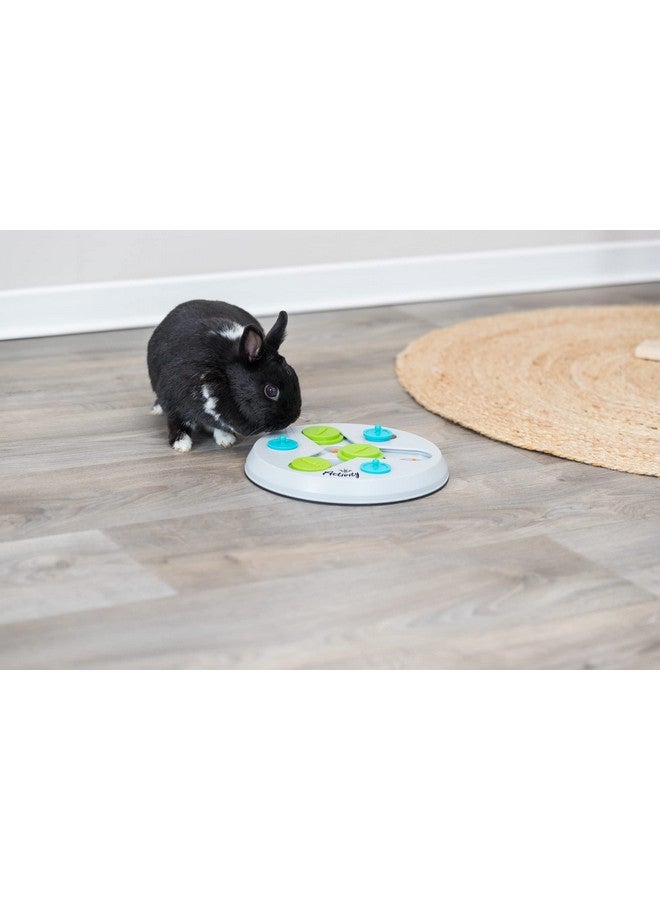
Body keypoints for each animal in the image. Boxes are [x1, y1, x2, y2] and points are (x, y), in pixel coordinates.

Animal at [147, 300, 302, 451]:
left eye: (293, 374)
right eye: (271, 391)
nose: (293, 418)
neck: (225, 374)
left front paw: (226, 439)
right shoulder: (174, 402)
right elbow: (177, 422)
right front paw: (181, 444)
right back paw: (156, 410)